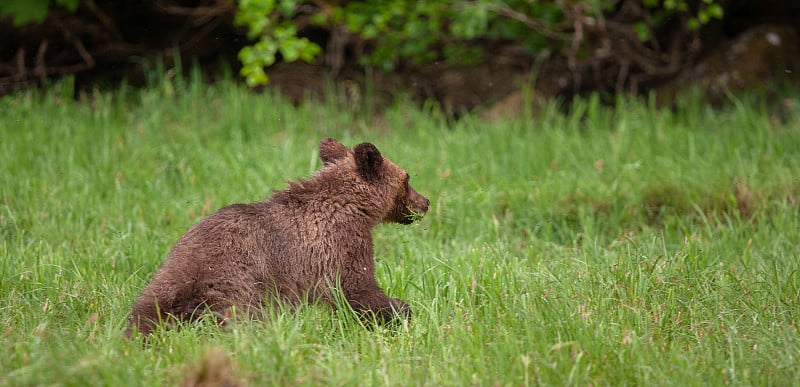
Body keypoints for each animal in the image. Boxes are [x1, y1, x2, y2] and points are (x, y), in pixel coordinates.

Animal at [124, 138, 428, 338]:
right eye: (407, 179)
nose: (425, 202)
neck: (354, 206)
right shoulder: (340, 244)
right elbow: (357, 287)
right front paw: (401, 310)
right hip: (236, 283)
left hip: (168, 275)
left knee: (146, 312)